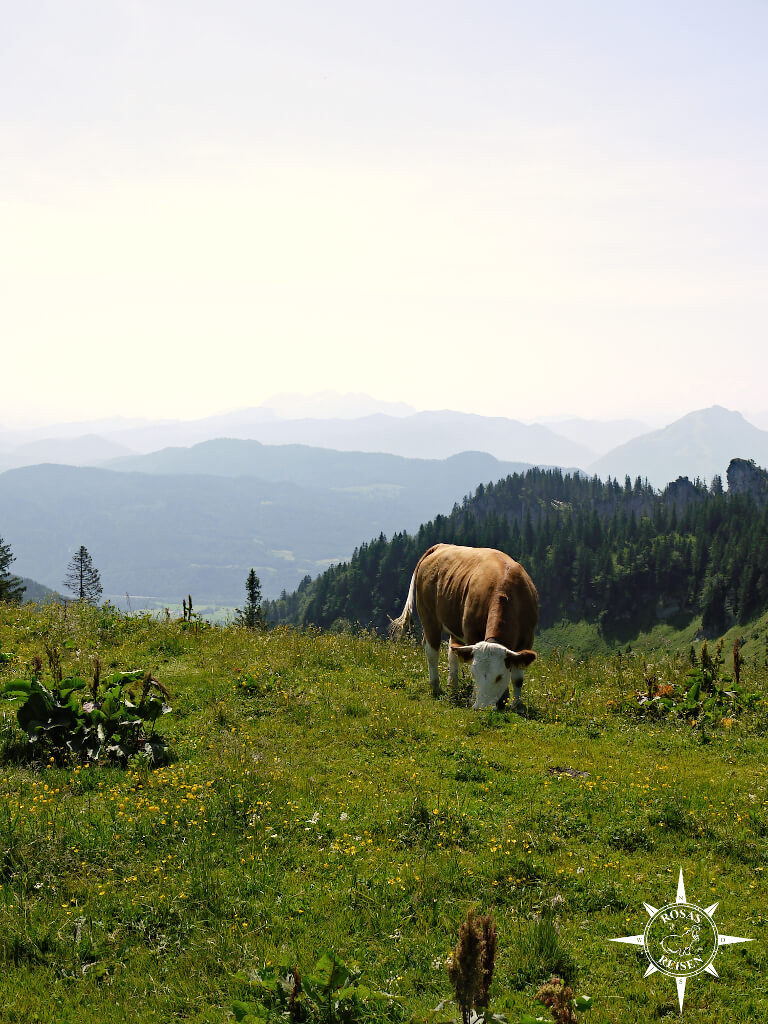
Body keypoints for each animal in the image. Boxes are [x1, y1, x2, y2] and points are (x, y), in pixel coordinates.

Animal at [387, 544, 536, 712]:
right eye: (474, 674)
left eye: (499, 677)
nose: (481, 707)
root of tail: (440, 546)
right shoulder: (472, 632)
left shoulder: (527, 638)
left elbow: (518, 678)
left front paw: (516, 705)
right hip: (428, 617)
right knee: (432, 651)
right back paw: (436, 687)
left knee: (453, 653)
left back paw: (453, 686)